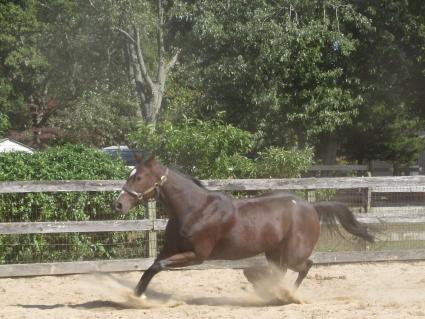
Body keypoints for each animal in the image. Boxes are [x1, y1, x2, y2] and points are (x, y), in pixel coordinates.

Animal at [112, 156, 372, 300]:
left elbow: (158, 266)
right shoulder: (170, 249)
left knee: (305, 266)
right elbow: (151, 268)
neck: (194, 210)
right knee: (279, 271)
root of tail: (311, 207)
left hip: (292, 254)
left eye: (138, 177)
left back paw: (287, 295)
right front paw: (136, 295)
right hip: (273, 253)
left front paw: (138, 297)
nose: (118, 204)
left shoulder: (197, 255)